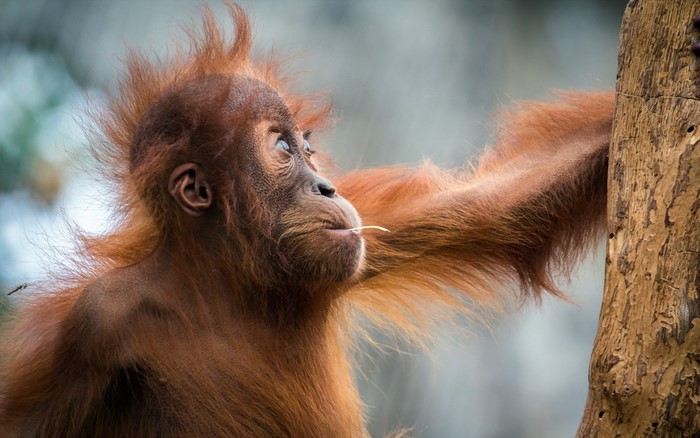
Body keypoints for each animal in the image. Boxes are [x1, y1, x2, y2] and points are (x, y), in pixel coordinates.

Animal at [0, 4, 614, 437]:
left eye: (308, 149)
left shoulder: (365, 240)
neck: (234, 285)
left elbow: (502, 198)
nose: (327, 187)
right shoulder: (95, 325)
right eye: (281, 148)